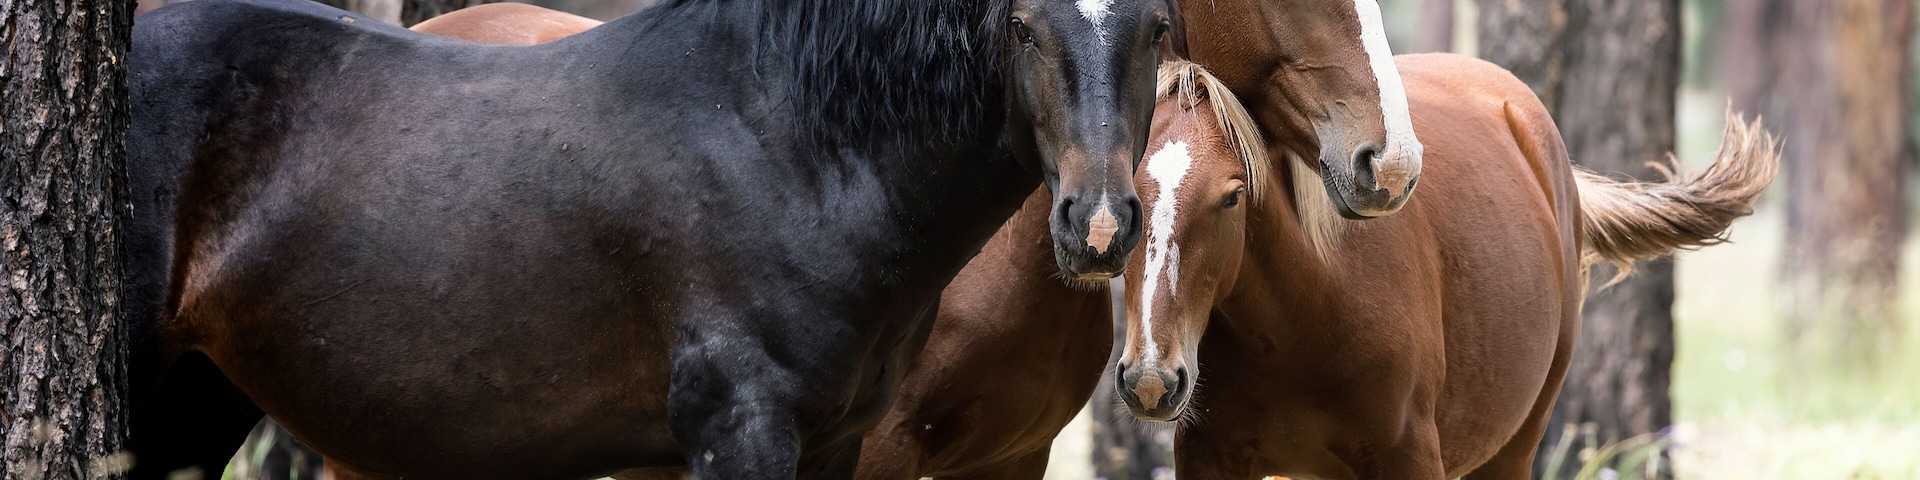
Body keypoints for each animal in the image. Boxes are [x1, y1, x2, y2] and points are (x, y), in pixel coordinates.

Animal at [122, 0, 1175, 477]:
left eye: (1159, 26)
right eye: (1025, 24)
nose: (1099, 223)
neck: (791, 147)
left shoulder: (839, 443)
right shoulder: (737, 433)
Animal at [1117, 53, 1777, 479]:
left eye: (1232, 196)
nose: (1151, 379)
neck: (1309, 314)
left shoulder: (1410, 458)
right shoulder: (1211, 458)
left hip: (1514, 449)